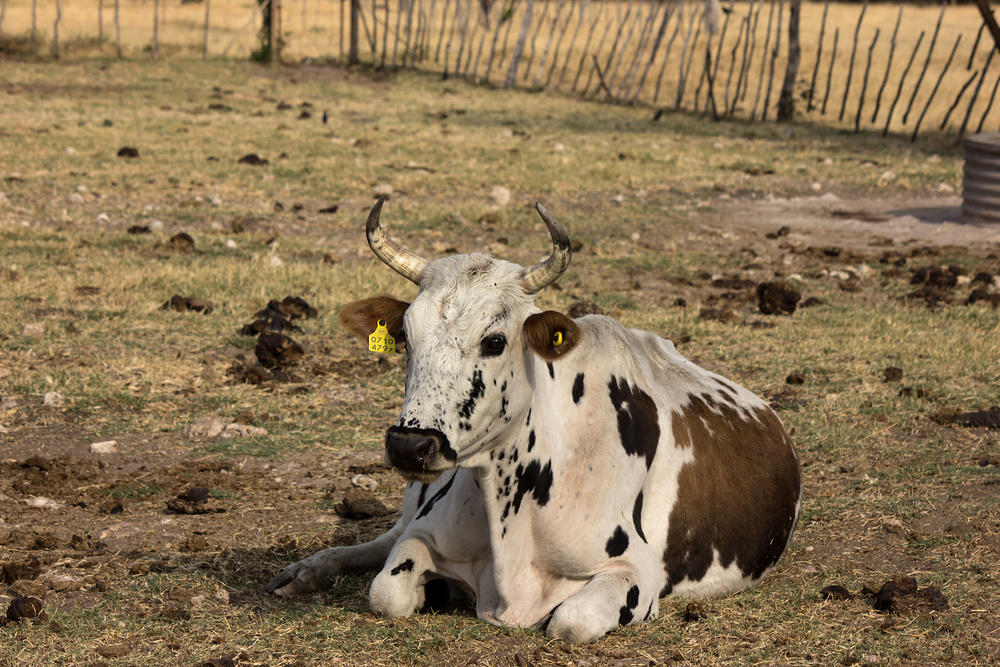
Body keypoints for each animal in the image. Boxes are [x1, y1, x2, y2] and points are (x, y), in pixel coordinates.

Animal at [264, 196, 796, 644]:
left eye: (495, 340)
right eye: (406, 338)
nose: (409, 446)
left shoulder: (637, 574)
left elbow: (570, 621)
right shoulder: (425, 531)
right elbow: (387, 590)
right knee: (384, 539)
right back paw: (307, 570)